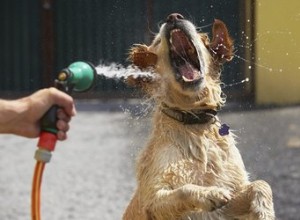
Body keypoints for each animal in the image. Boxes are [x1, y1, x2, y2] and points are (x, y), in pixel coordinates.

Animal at [123, 12, 276, 219]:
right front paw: (209, 194)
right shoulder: (152, 200)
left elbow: (261, 184)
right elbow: (184, 189)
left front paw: (264, 212)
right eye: (156, 42)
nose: (173, 16)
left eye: (201, 37)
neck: (195, 123)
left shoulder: (233, 195)